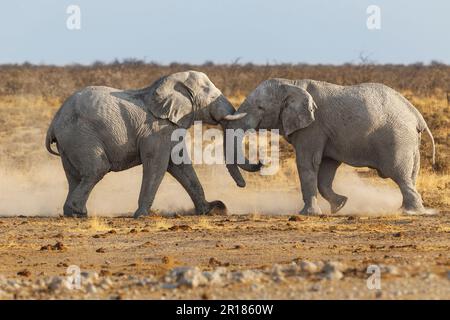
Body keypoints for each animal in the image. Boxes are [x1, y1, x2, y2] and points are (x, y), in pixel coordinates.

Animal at [45, 70, 246, 218]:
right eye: (210, 96)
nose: (241, 186)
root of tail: (53, 123)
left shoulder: (169, 127)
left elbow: (180, 164)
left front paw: (211, 210)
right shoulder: (156, 129)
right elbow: (157, 164)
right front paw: (141, 215)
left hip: (69, 142)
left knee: (73, 176)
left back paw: (71, 212)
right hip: (81, 135)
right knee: (97, 169)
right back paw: (78, 212)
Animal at [227, 79, 434, 216]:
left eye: (260, 108)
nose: (260, 163)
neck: (291, 84)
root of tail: (417, 116)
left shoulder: (313, 127)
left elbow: (307, 163)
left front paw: (308, 214)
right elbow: (326, 167)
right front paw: (339, 205)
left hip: (397, 140)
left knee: (399, 174)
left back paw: (412, 212)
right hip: (410, 142)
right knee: (410, 175)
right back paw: (407, 209)